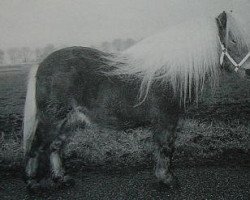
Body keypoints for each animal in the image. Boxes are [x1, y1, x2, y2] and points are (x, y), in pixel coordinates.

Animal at [22, 11, 249, 191]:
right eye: (233, 40)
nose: (248, 71)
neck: (168, 72)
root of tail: (42, 63)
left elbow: (161, 149)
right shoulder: (166, 120)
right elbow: (165, 149)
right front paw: (167, 180)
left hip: (69, 121)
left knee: (55, 147)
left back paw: (62, 179)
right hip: (52, 119)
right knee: (37, 146)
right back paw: (33, 183)